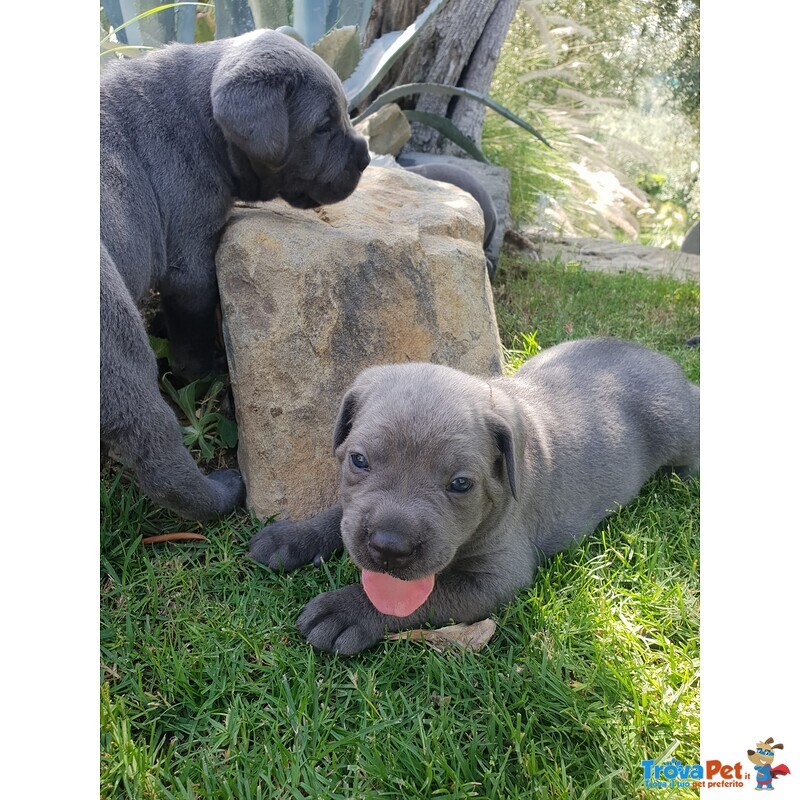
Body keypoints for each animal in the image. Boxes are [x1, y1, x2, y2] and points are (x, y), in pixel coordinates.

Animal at [101, 28, 372, 520]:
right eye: (323, 126)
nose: (365, 156)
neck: (196, 123)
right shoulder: (189, 257)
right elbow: (191, 335)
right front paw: (204, 372)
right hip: (117, 346)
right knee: (157, 449)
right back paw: (222, 492)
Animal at [252, 334, 700, 652]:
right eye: (359, 461)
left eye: (461, 484)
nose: (389, 547)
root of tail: (663, 362)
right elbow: (339, 516)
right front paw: (292, 536)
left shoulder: (495, 578)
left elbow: (428, 597)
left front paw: (347, 611)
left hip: (681, 431)